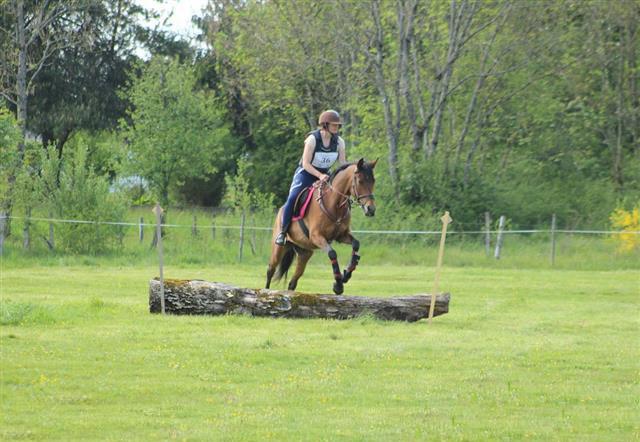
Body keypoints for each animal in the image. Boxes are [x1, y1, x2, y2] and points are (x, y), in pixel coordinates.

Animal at [264, 157, 376, 296]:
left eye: (373, 181)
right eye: (360, 181)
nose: (371, 209)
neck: (334, 203)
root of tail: (280, 211)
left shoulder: (341, 236)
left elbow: (356, 244)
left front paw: (348, 272)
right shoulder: (317, 236)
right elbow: (332, 253)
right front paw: (338, 284)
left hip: (304, 253)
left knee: (293, 282)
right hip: (279, 248)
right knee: (270, 270)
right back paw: (265, 291)